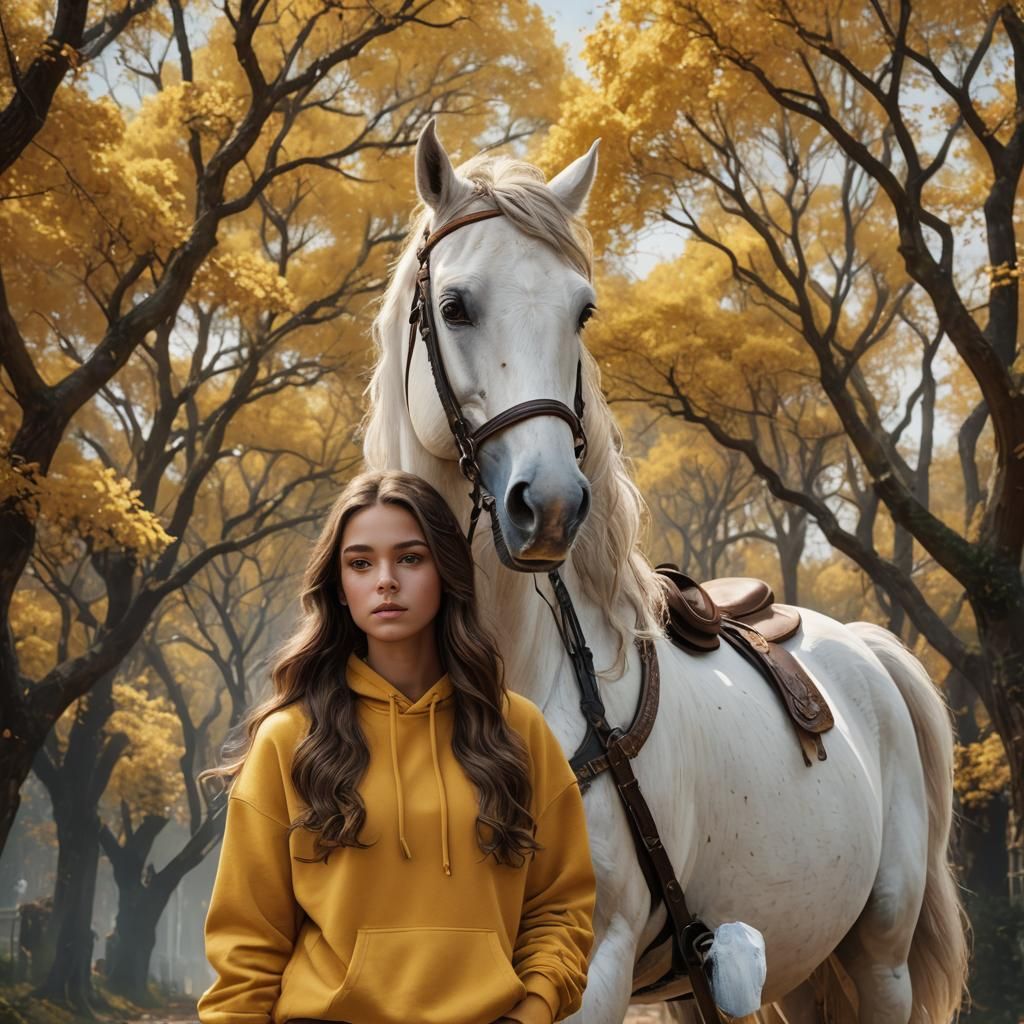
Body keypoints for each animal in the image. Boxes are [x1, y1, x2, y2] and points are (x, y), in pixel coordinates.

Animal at [360, 119, 969, 1024]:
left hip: (877, 963)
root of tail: (867, 649)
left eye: (582, 310)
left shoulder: (596, 964)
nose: (550, 504)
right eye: (455, 305)